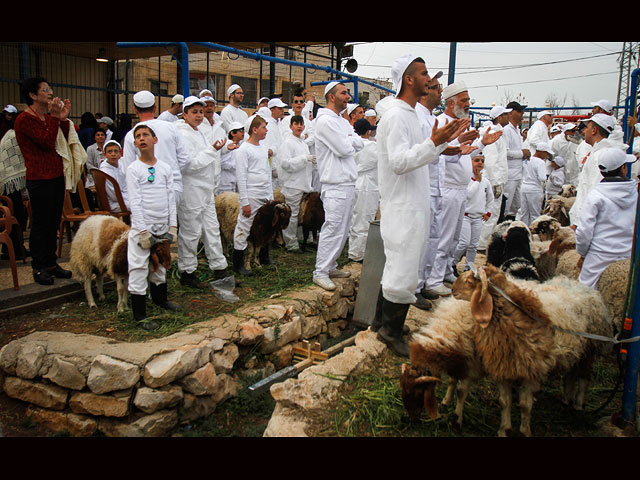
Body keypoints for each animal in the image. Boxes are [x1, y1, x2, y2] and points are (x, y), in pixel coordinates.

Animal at [448, 264, 612, 436]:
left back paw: (578, 406)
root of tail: (583, 286)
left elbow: (525, 406)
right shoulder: (503, 367)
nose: (452, 290)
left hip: (589, 351)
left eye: (469, 282)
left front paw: (525, 431)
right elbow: (504, 401)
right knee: (570, 376)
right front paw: (504, 429)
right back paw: (565, 401)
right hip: (575, 353)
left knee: (584, 378)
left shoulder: (531, 371)